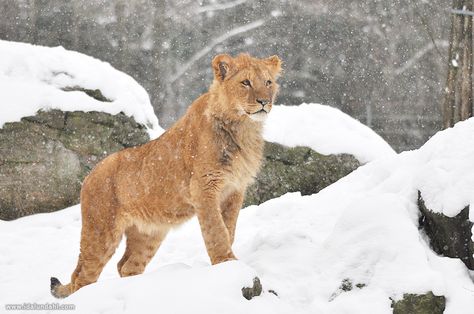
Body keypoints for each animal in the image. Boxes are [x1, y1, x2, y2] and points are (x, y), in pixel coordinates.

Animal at [51, 52, 282, 298]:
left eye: (268, 82)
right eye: (246, 82)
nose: (264, 102)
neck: (243, 128)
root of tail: (90, 173)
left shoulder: (234, 190)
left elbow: (229, 229)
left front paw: (228, 265)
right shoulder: (204, 188)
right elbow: (216, 230)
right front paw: (226, 263)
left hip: (149, 233)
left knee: (127, 265)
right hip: (101, 229)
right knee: (82, 276)